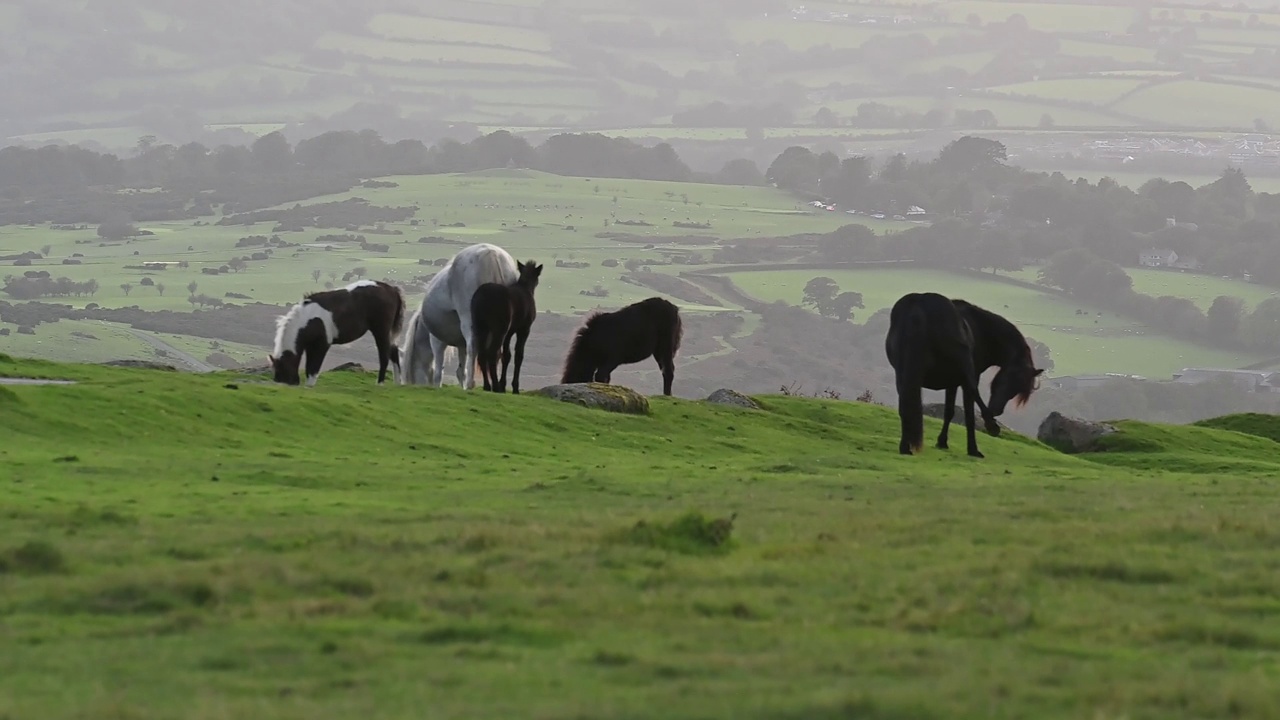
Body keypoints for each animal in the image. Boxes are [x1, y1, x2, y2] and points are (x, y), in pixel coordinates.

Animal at [268, 278, 404, 386]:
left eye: (283, 369)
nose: (292, 383)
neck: (308, 318)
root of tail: (392, 289)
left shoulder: (322, 345)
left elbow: (313, 367)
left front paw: (309, 386)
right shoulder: (310, 346)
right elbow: (309, 367)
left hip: (381, 330)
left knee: (384, 355)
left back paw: (380, 383)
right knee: (393, 351)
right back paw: (397, 383)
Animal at [399, 240, 519, 386]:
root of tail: (490, 253)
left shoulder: (437, 340)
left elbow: (438, 372)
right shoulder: (461, 344)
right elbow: (460, 371)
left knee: (473, 348)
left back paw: (470, 385)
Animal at [476, 257, 545, 392]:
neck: (525, 288)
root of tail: (483, 295)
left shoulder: (509, 332)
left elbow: (506, 356)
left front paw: (503, 384)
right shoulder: (524, 330)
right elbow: (518, 355)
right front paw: (514, 387)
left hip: (480, 327)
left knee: (482, 354)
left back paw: (487, 386)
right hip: (498, 330)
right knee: (492, 353)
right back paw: (495, 386)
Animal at [885, 289, 1044, 453]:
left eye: (1017, 390)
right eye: (1007, 380)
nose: (996, 411)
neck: (981, 329)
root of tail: (919, 305)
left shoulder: (951, 381)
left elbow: (949, 412)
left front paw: (942, 442)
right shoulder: (967, 376)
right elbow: (968, 413)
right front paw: (971, 448)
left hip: (904, 373)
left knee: (905, 405)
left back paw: (905, 446)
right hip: (963, 366)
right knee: (973, 391)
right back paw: (989, 428)